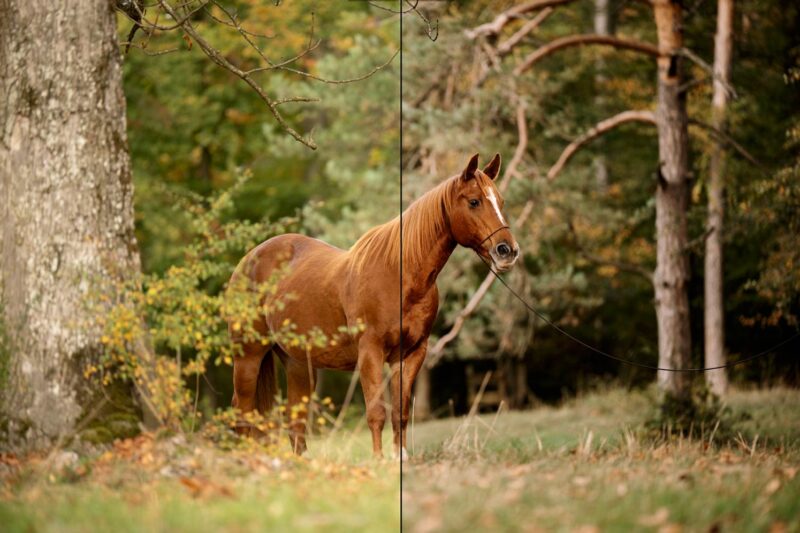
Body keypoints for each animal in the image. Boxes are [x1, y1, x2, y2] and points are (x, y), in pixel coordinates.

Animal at [226, 153, 519, 458]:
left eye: (500, 201)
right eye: (474, 201)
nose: (507, 251)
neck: (398, 276)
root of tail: (249, 259)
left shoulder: (411, 354)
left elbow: (400, 412)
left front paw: (400, 458)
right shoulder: (370, 351)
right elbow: (376, 412)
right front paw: (379, 461)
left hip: (297, 363)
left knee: (295, 422)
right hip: (248, 354)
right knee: (242, 411)